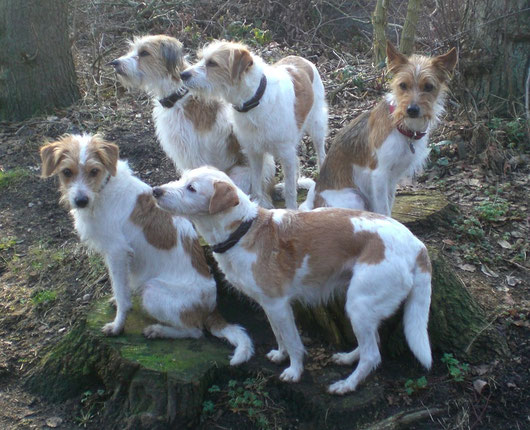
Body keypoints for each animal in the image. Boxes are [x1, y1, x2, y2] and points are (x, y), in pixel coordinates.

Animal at [39, 134, 252, 366]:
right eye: (67, 172)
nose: (80, 201)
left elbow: (122, 295)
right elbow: (120, 286)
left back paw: (158, 330)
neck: (103, 189)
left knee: (195, 331)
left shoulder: (117, 252)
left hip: (151, 292)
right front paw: (116, 300)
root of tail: (212, 307)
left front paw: (117, 326)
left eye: (94, 171)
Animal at [151, 166, 432, 394]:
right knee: (372, 344)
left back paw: (347, 385)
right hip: (362, 306)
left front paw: (294, 371)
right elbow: (280, 335)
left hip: (359, 304)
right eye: (181, 178)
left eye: (191, 188)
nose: (155, 191)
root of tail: (417, 245)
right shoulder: (269, 305)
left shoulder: (279, 305)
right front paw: (279, 354)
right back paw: (348, 358)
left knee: (372, 355)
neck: (243, 231)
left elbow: (294, 342)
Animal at [178, 40, 326, 210]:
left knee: (321, 155)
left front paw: (291, 210)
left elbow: (290, 191)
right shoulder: (254, 153)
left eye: (212, 63)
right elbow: (256, 185)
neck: (255, 101)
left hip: (317, 126)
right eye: (201, 58)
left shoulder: (285, 152)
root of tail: (300, 58)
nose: (183, 74)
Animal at [300, 41, 456, 215]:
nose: (412, 110)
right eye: (403, 85)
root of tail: (312, 203)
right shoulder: (379, 176)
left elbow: (389, 205)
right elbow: (384, 210)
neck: (401, 126)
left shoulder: (392, 179)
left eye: (428, 87)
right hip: (355, 198)